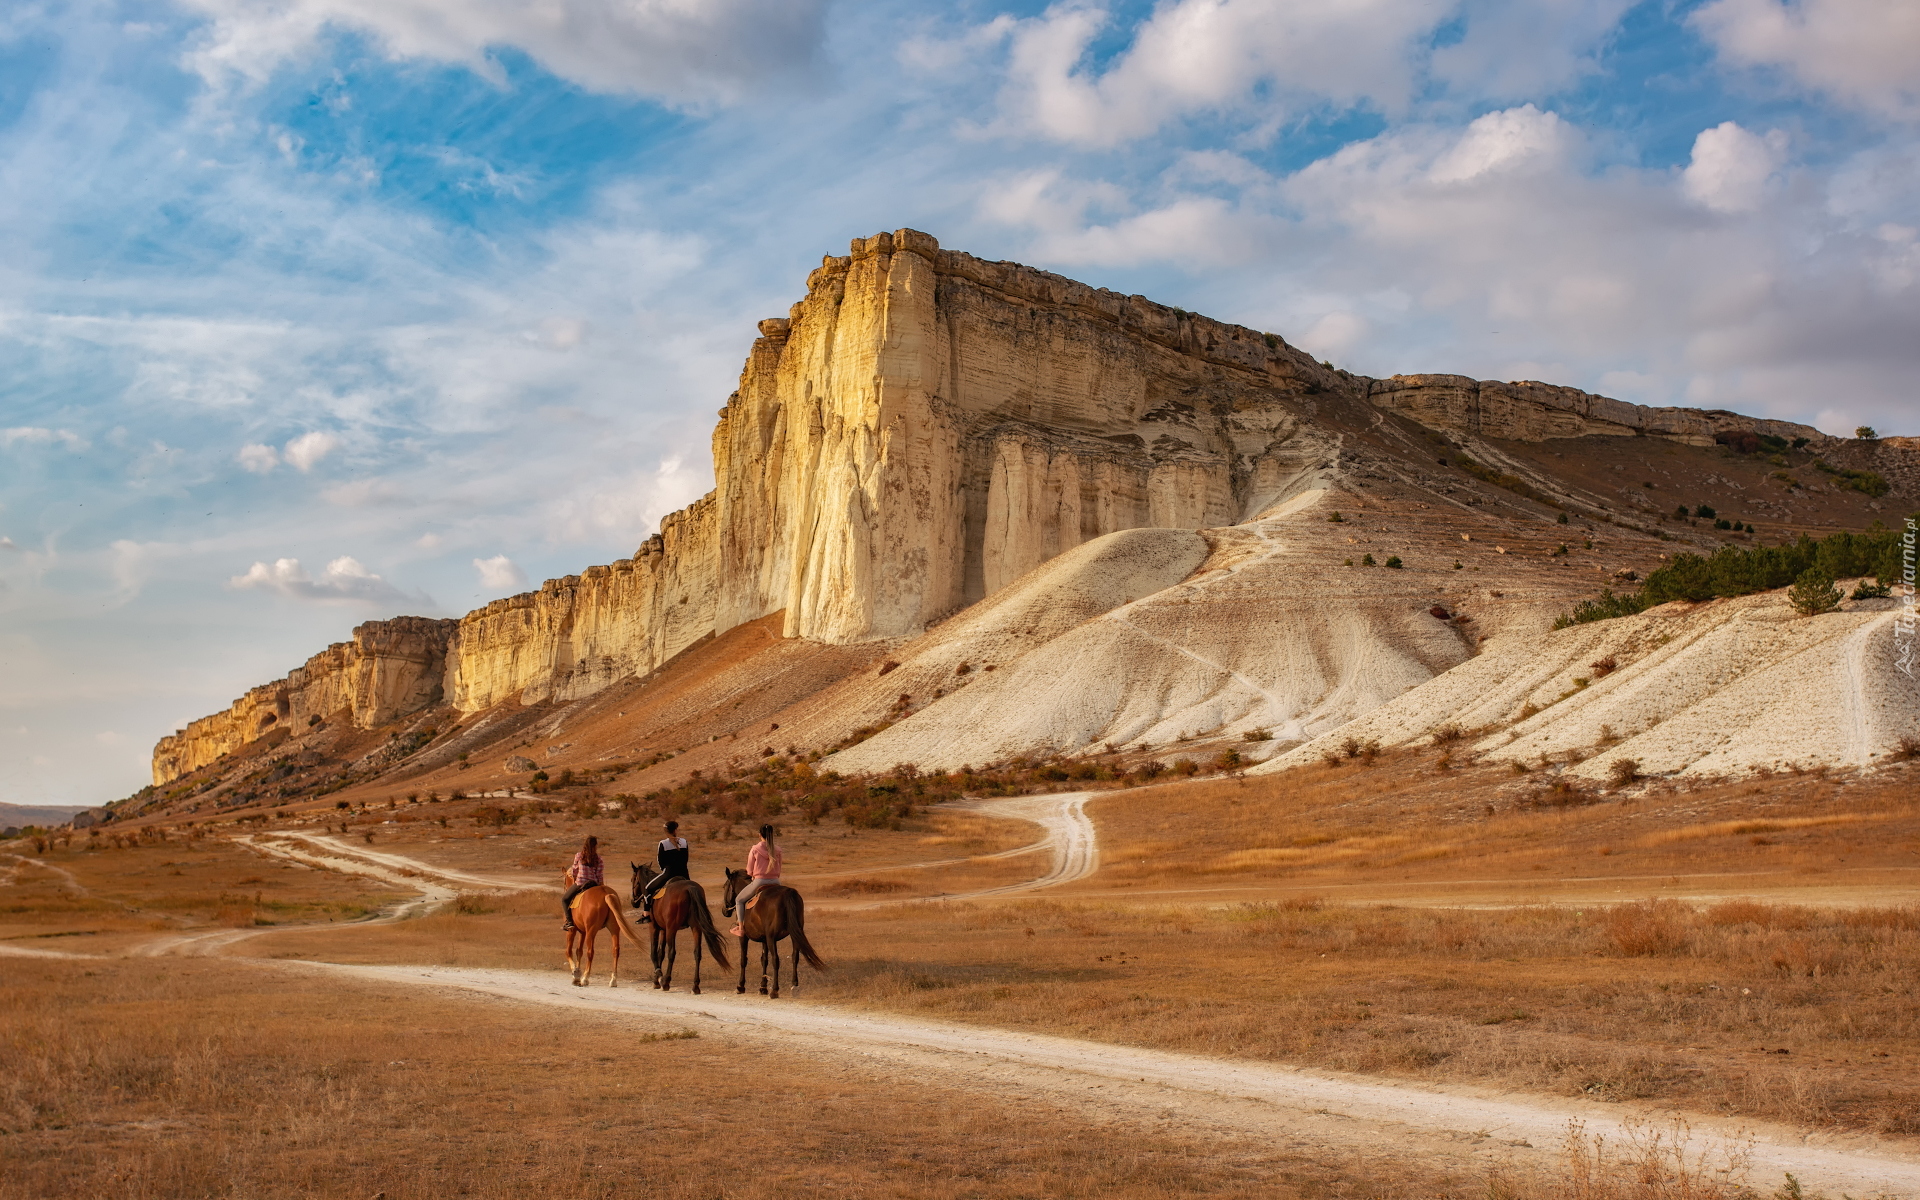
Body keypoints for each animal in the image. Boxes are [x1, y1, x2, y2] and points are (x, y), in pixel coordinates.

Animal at [629, 860, 725, 990]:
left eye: (632, 880)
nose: (633, 902)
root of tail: (689, 888)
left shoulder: (654, 927)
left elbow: (654, 952)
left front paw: (657, 978)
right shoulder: (664, 929)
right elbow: (661, 952)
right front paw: (657, 978)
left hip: (672, 928)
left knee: (672, 952)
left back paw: (666, 982)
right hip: (696, 927)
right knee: (697, 953)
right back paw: (695, 985)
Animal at [714, 864, 817, 998]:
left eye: (724, 886)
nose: (724, 910)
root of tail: (788, 893)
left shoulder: (744, 937)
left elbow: (743, 959)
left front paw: (740, 986)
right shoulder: (764, 939)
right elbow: (764, 960)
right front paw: (762, 987)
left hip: (772, 938)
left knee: (776, 960)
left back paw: (775, 990)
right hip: (793, 935)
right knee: (795, 957)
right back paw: (794, 986)